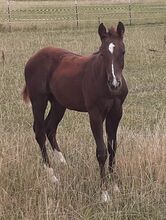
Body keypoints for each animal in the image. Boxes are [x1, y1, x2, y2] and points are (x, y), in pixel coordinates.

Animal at [22, 21, 128, 202]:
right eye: (101, 53)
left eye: (123, 51)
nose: (114, 83)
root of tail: (33, 58)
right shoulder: (95, 114)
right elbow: (101, 151)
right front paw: (104, 194)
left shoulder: (116, 113)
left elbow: (113, 148)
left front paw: (115, 187)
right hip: (39, 100)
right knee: (40, 131)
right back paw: (52, 175)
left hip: (58, 104)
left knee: (50, 128)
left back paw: (63, 163)